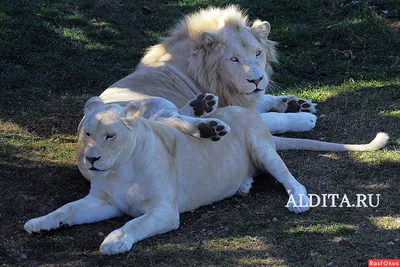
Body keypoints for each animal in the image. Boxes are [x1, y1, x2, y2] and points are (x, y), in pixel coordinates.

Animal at [24, 98, 388, 255]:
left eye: (110, 136)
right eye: (87, 134)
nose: (92, 158)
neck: (119, 169)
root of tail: (246, 111)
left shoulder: (163, 211)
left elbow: (134, 223)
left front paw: (115, 241)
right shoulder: (103, 202)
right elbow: (67, 209)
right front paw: (41, 223)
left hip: (263, 150)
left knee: (290, 178)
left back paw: (297, 200)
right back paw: (242, 184)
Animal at [100, 5, 318, 138]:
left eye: (258, 53)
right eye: (234, 59)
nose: (256, 80)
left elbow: (265, 99)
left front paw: (297, 103)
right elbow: (271, 118)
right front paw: (302, 118)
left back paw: (202, 107)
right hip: (146, 101)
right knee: (162, 117)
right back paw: (208, 126)